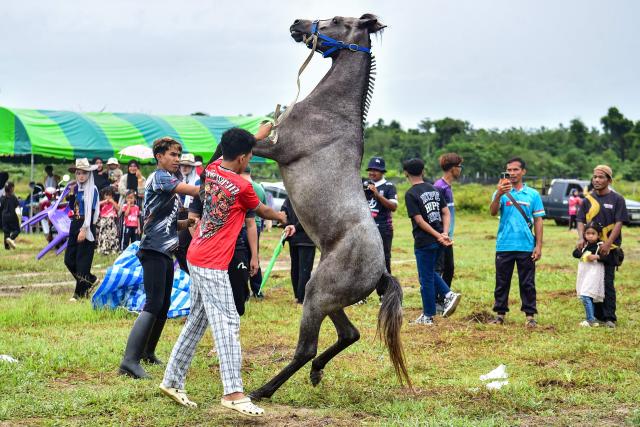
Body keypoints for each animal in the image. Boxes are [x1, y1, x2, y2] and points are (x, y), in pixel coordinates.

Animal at [250, 14, 411, 400]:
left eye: (338, 20)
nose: (297, 23)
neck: (329, 110)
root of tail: (380, 271)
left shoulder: (276, 149)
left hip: (316, 296)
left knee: (306, 348)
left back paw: (263, 390)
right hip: (327, 297)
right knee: (349, 334)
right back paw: (316, 372)